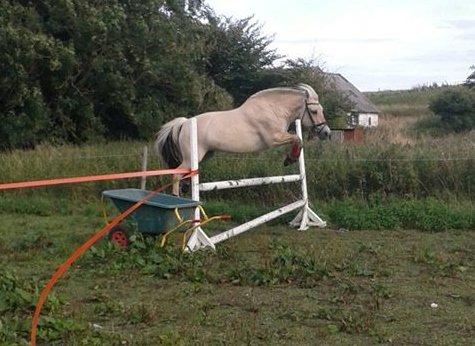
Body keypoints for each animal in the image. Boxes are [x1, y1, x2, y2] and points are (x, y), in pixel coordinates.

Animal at [156, 83, 330, 195]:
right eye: (314, 111)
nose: (326, 133)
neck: (273, 109)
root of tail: (185, 123)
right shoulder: (273, 139)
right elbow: (297, 139)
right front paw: (290, 159)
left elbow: (297, 140)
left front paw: (290, 159)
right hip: (192, 157)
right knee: (176, 174)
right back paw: (177, 200)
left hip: (204, 156)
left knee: (184, 173)